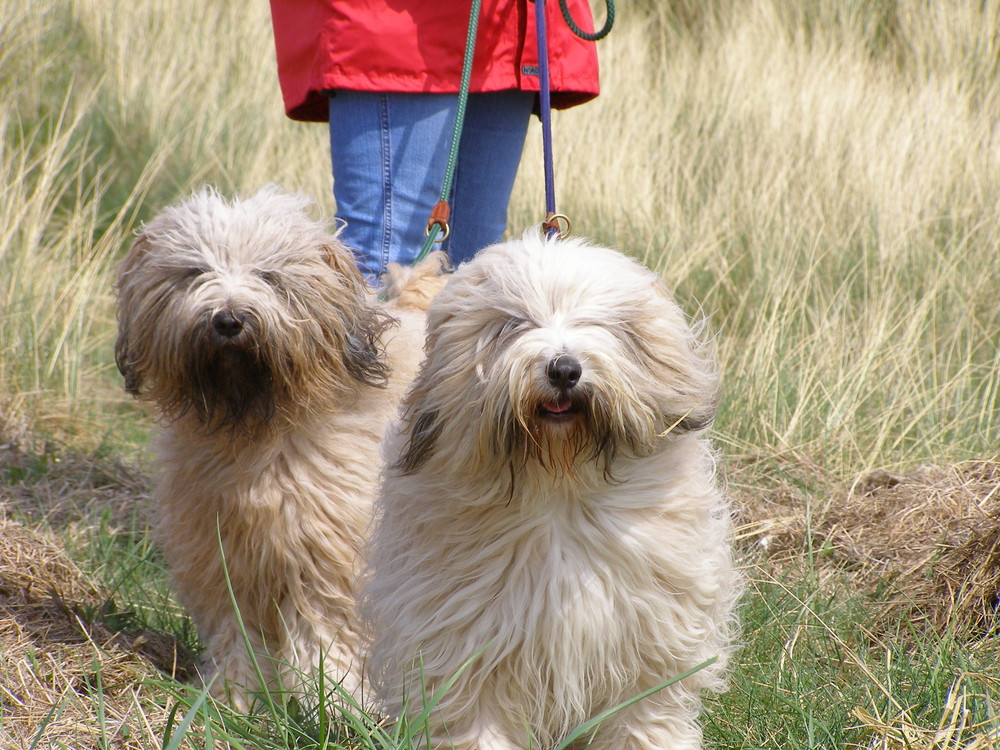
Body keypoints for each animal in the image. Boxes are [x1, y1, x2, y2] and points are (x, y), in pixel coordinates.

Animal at [114, 188, 442, 712]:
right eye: (194, 272)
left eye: (269, 275)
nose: (228, 319)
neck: (258, 428)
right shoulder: (222, 556)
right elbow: (236, 634)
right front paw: (231, 698)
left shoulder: (327, 554)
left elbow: (325, 633)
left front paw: (331, 701)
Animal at [362, 232, 744, 748]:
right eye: (513, 324)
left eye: (598, 322)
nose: (564, 369)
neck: (558, 485)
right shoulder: (460, 643)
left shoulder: (648, 638)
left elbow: (644, 716)